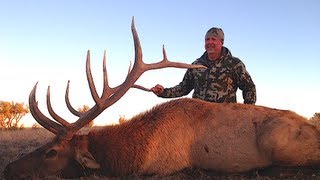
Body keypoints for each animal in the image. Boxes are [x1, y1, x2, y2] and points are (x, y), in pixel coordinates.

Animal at [3, 19, 320, 179]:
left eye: (51, 152)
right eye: (45, 144)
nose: (7, 169)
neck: (134, 153)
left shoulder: (164, 169)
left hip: (277, 142)